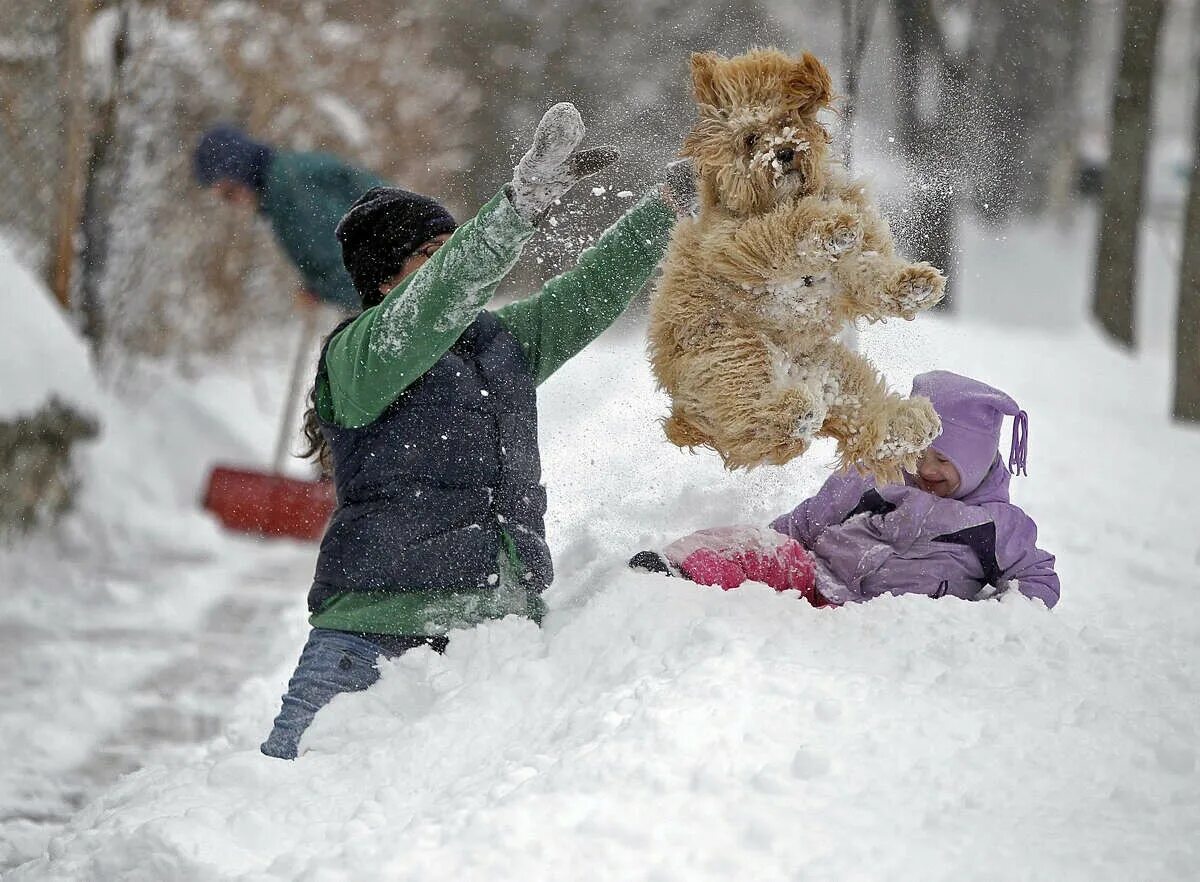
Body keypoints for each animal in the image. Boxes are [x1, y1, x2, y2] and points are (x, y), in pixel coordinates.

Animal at [657, 49, 945, 482]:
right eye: (750, 138)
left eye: (785, 122)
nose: (784, 151)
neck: (786, 197)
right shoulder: (735, 241)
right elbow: (785, 230)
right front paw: (831, 227)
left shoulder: (849, 269)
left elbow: (869, 271)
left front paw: (912, 284)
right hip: (732, 356)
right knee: (752, 410)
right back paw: (793, 413)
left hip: (835, 373)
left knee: (866, 413)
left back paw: (908, 424)